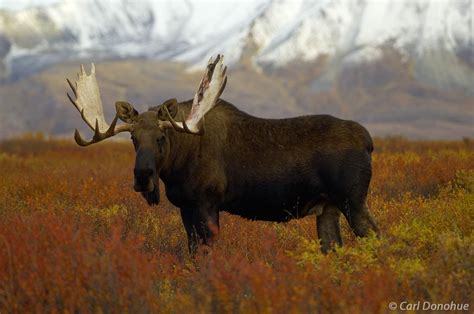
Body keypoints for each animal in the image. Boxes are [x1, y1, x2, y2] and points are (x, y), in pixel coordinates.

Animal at [65, 55, 378, 254]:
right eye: (132, 138)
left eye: (161, 137)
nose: (142, 177)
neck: (176, 167)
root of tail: (368, 141)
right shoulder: (185, 207)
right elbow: (193, 252)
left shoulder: (207, 202)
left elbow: (207, 252)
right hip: (327, 208)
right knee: (334, 248)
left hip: (352, 199)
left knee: (376, 237)